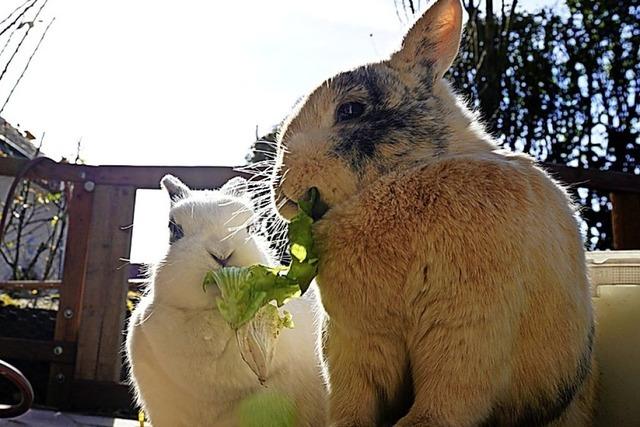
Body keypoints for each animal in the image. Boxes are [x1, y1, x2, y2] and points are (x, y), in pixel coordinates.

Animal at [268, 0, 596, 424]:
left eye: (351, 110)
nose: (280, 184)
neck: (399, 181)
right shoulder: (356, 344)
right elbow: (354, 403)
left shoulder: (466, 327)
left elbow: (446, 396)